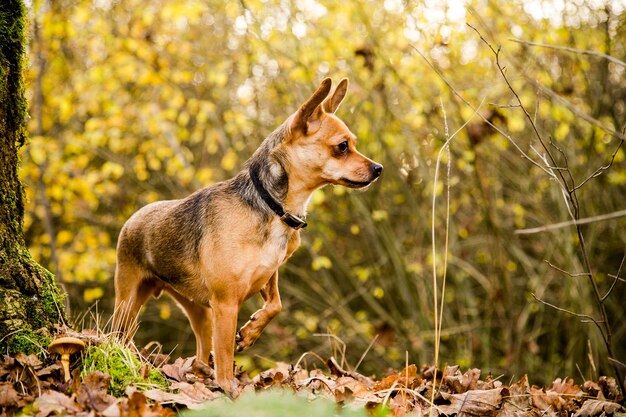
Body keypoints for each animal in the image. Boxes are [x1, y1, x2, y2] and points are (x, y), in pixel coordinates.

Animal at [114, 78, 382, 394]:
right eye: (342, 147)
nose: (379, 168)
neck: (271, 207)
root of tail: (132, 218)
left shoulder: (267, 275)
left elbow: (276, 305)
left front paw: (251, 332)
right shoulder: (226, 304)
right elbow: (226, 355)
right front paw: (229, 388)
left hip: (199, 311)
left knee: (202, 347)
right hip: (129, 300)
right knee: (120, 333)